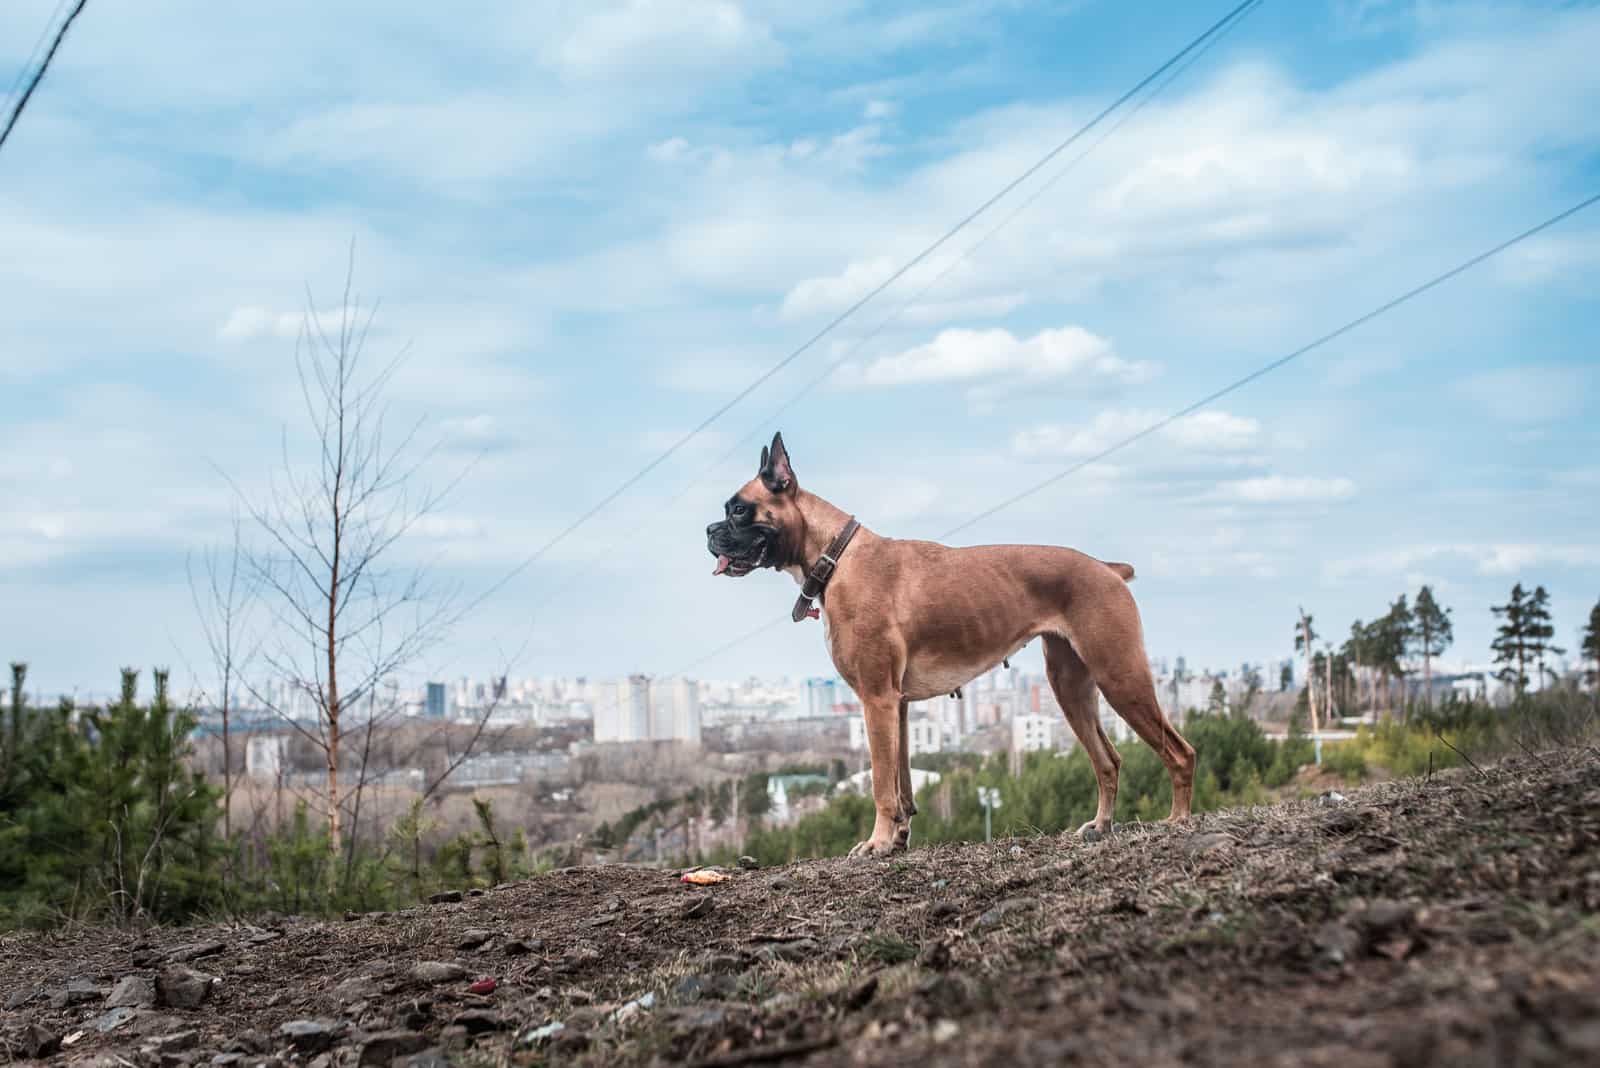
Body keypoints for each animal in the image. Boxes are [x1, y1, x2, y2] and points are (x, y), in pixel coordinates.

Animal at [707, 428, 1196, 856]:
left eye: (739, 510)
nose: (710, 531)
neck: (836, 555)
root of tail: (1107, 569)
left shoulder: (876, 700)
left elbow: (881, 782)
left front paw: (877, 843)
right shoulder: (897, 707)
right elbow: (902, 782)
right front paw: (898, 839)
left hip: (1121, 677)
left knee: (1180, 752)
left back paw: (1178, 820)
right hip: (1071, 688)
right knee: (1108, 761)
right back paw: (1102, 825)